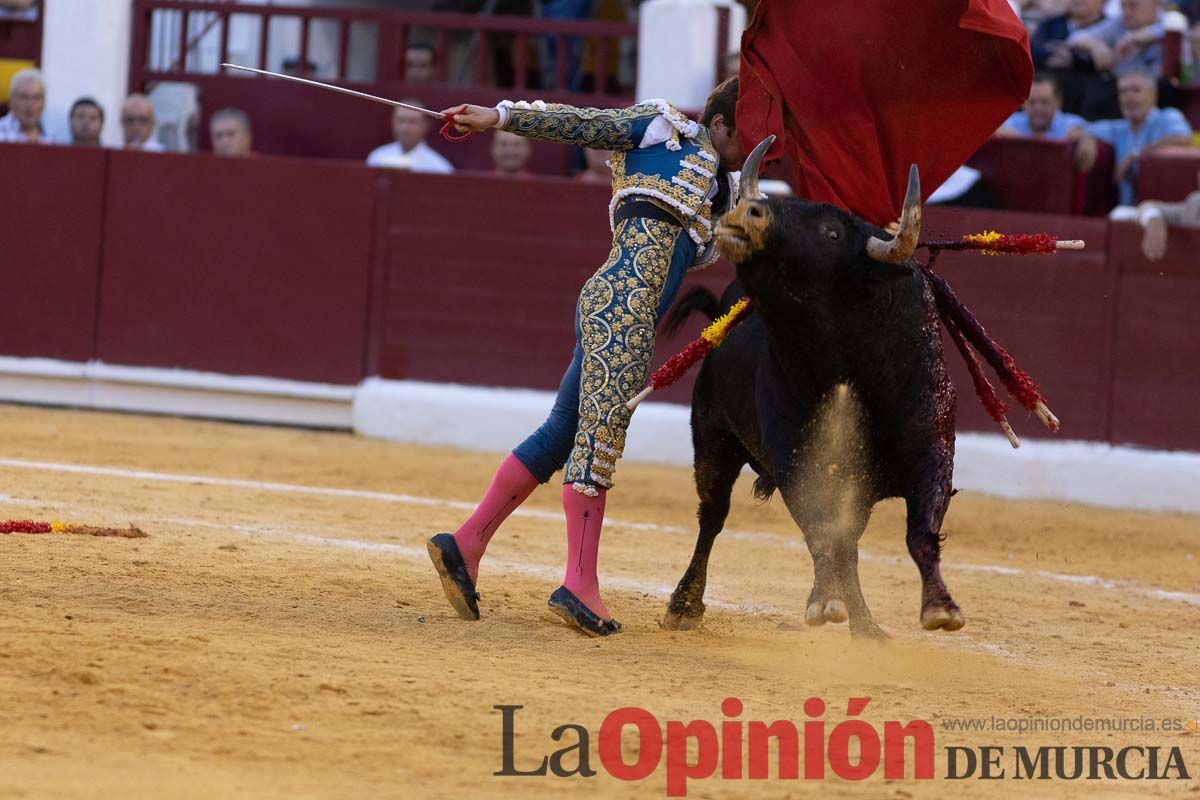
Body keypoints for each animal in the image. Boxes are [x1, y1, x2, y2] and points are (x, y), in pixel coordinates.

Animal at [662, 139, 960, 638]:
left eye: (832, 233)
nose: (749, 212)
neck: (845, 364)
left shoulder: (931, 450)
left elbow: (920, 530)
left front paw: (940, 608)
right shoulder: (796, 460)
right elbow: (820, 532)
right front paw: (824, 602)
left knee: (848, 546)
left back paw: (867, 628)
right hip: (714, 440)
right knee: (713, 517)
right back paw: (684, 604)